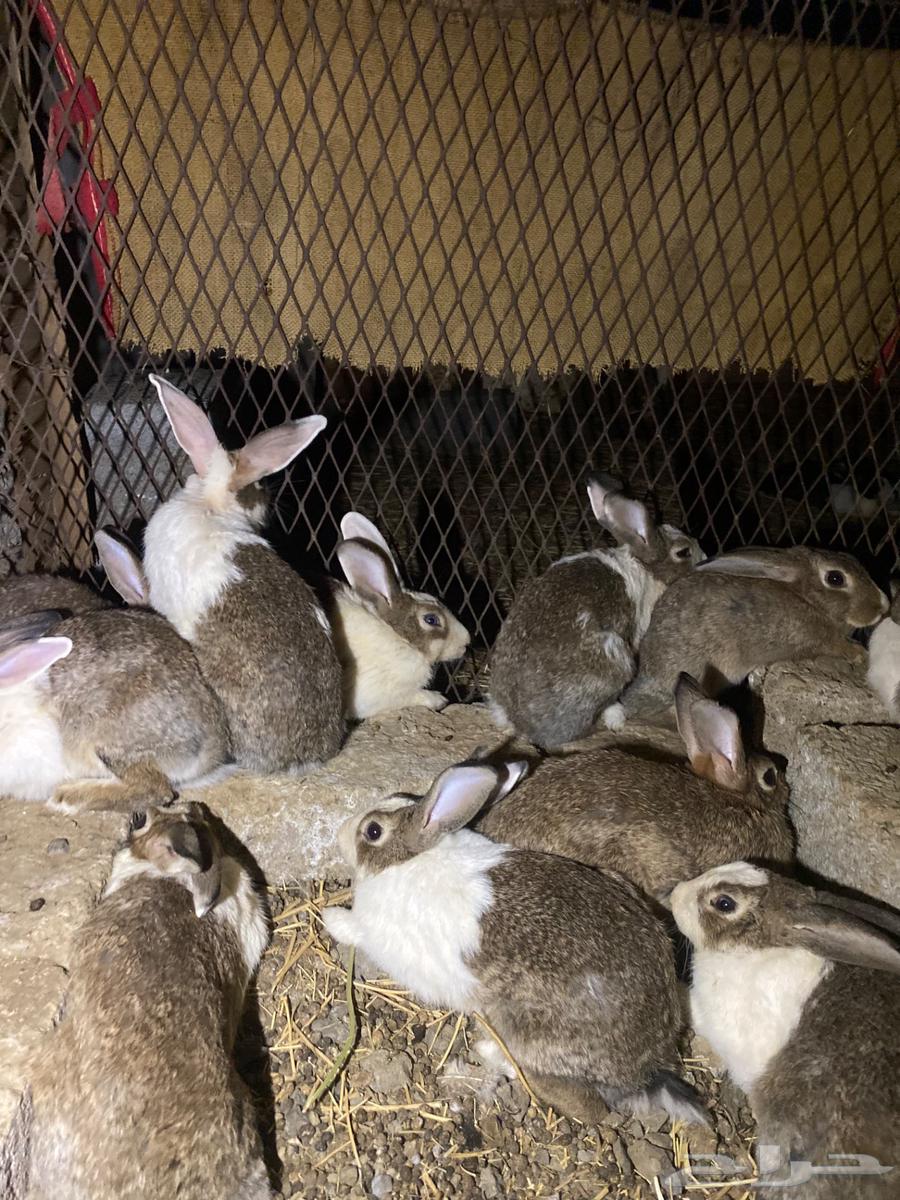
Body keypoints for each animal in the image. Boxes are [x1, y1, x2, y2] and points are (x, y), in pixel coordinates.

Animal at [322, 760, 708, 1127]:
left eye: (373, 831)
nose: (339, 830)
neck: (407, 858)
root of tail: (645, 1069)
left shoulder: (377, 931)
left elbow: (355, 929)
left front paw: (330, 917)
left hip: (521, 1028)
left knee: (584, 1104)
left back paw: (490, 1052)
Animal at [606, 546, 888, 729]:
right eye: (835, 578)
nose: (883, 605)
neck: (808, 599)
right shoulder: (815, 639)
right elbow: (836, 646)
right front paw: (859, 654)